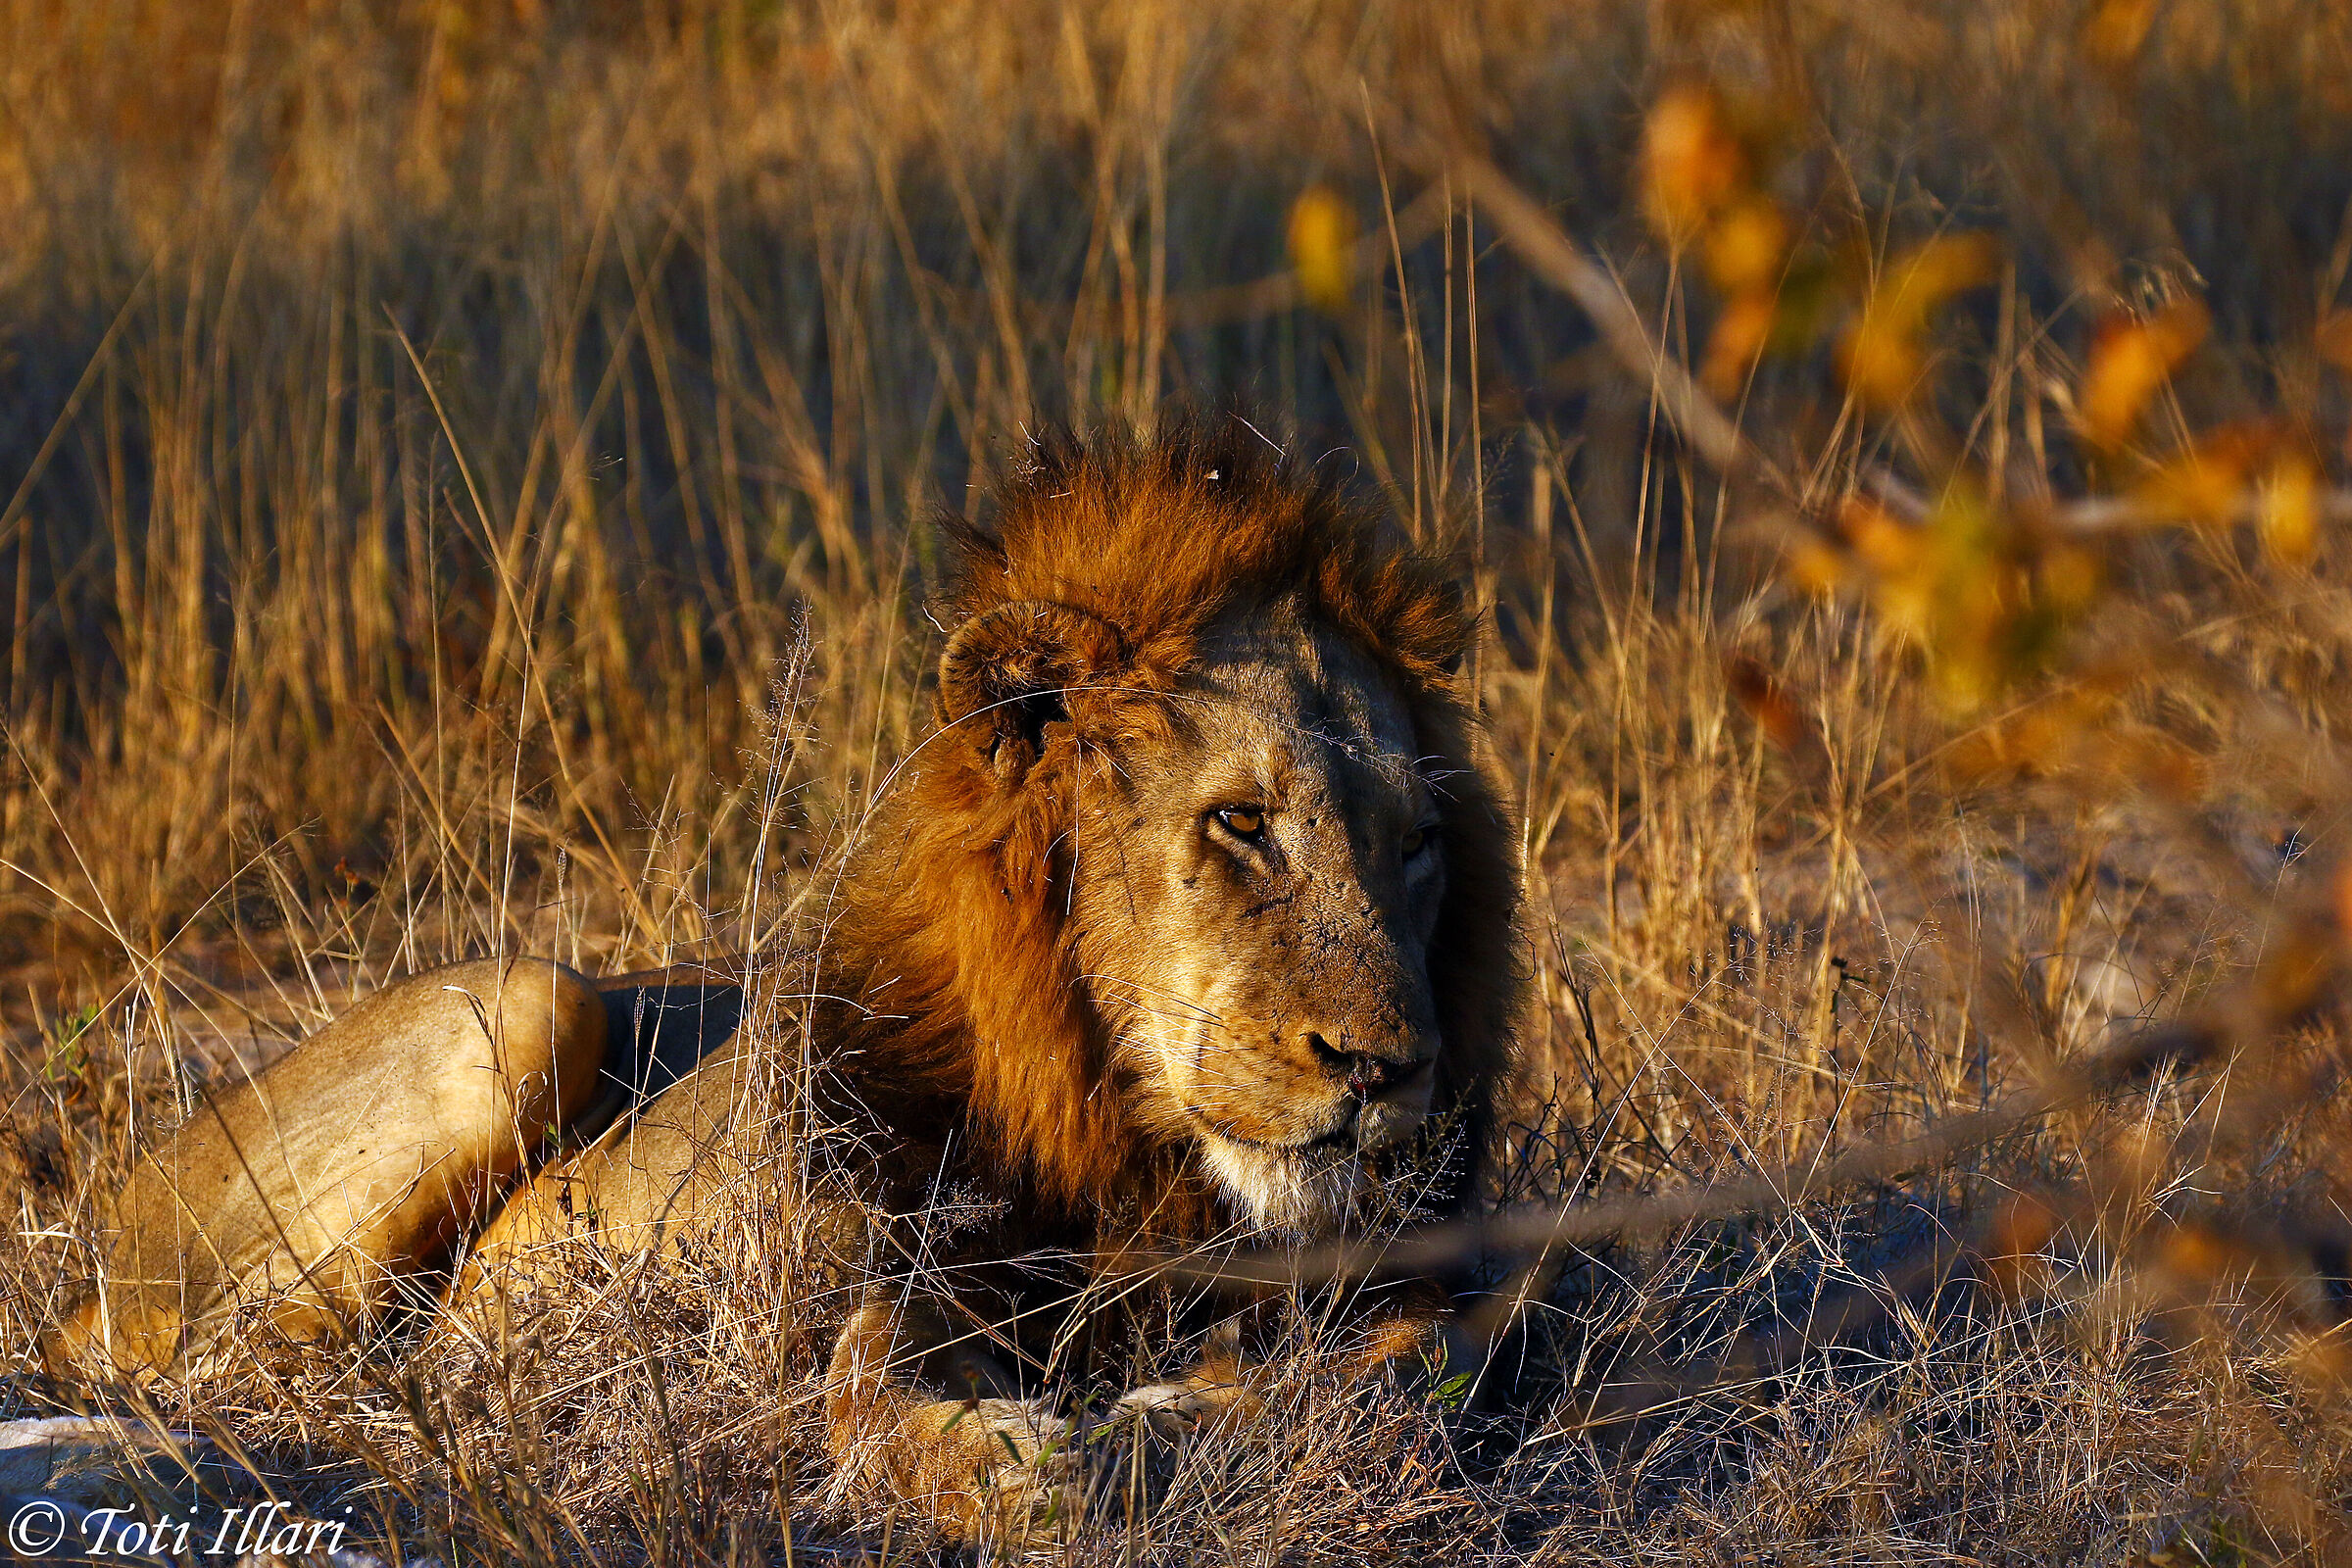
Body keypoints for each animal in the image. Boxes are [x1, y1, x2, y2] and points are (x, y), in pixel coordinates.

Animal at [55, 425, 1524, 1540]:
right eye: (1241, 823)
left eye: (1416, 843)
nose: (1389, 1071)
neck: (1126, 1143)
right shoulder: (857, 1262)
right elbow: (864, 1382)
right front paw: (1014, 1466)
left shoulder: (1430, 1288)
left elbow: (1412, 1382)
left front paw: (1190, 1416)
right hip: (527, 998)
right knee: (245, 1363)